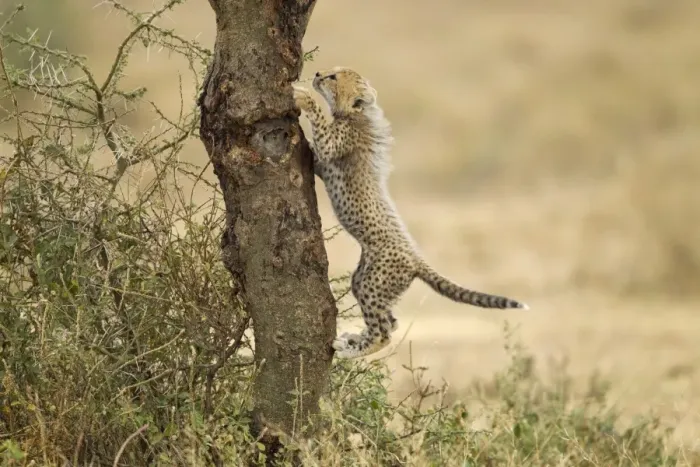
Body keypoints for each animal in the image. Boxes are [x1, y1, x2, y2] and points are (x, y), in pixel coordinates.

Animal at [293, 66, 528, 359]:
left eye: (334, 78)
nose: (317, 74)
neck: (356, 115)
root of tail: (416, 258)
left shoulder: (333, 144)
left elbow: (320, 130)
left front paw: (303, 97)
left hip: (374, 282)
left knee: (384, 332)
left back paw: (351, 350)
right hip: (366, 278)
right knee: (390, 322)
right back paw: (353, 341)